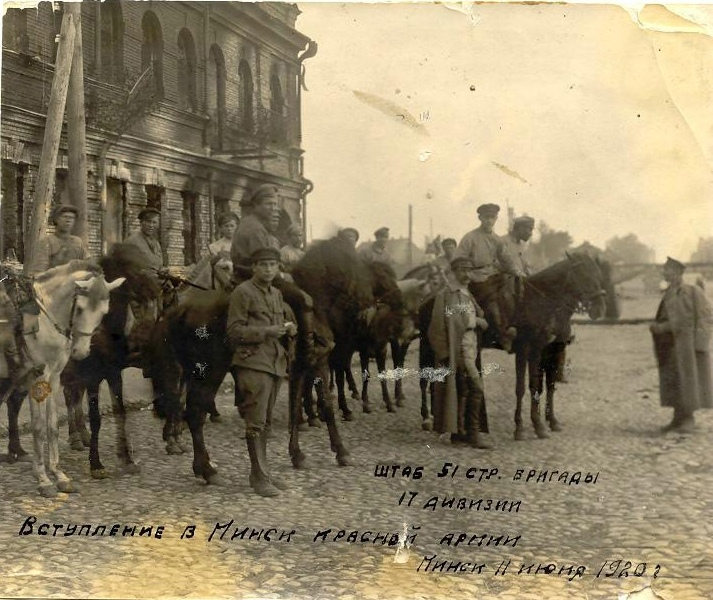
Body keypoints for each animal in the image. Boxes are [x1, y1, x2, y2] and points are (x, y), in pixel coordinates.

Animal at [0, 261, 125, 496]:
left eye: (103, 312)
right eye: (80, 308)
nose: (81, 352)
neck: (45, 320)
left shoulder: (55, 379)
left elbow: (52, 427)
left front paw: (58, 474)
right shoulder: (37, 380)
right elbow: (39, 428)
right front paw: (42, 478)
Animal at [61, 244, 163, 478]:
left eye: (155, 303)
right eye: (135, 303)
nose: (147, 350)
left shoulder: (113, 372)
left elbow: (120, 412)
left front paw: (126, 458)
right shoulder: (92, 376)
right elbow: (96, 417)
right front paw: (96, 464)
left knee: (73, 395)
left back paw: (80, 435)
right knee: (68, 395)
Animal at [512, 252, 607, 440]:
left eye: (599, 275)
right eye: (584, 276)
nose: (600, 309)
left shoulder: (552, 350)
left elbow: (548, 386)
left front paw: (551, 421)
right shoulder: (527, 350)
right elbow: (525, 387)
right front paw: (525, 427)